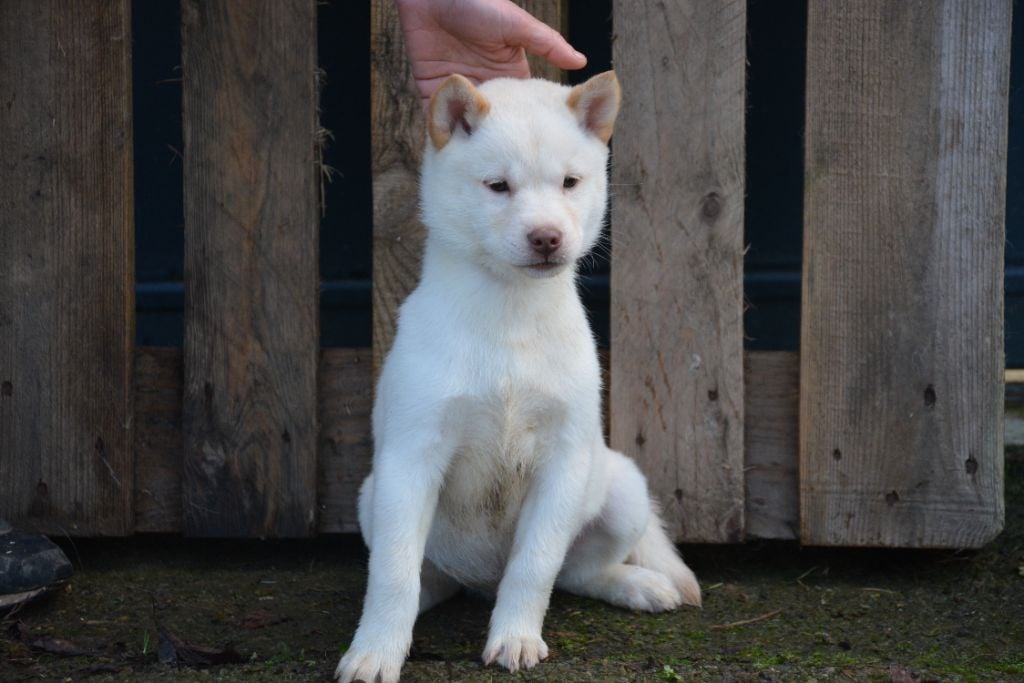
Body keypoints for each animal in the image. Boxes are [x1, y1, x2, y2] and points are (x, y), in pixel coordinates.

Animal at [339, 70, 700, 683]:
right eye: (498, 187)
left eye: (571, 182)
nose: (548, 237)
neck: (509, 316)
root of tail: (478, 584)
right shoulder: (411, 459)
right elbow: (392, 573)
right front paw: (375, 650)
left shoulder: (562, 462)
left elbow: (534, 566)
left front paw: (516, 638)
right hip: (372, 498)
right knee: (427, 578)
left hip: (622, 490)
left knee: (576, 573)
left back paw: (637, 585)